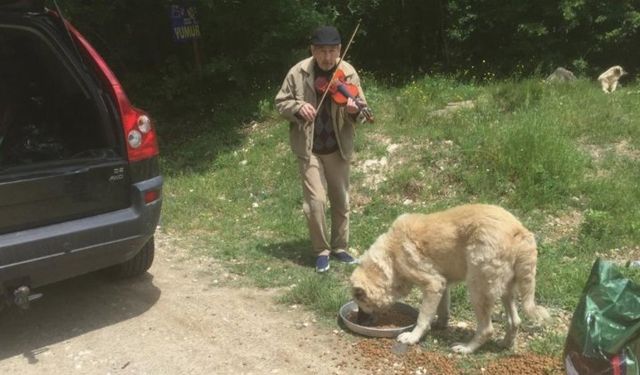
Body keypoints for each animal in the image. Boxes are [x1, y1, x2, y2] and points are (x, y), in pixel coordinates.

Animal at [350, 204, 552, 354]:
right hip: (504, 289)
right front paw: (439, 325)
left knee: (487, 329)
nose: (358, 322)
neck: (390, 256)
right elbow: (442, 309)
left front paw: (413, 337)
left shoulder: (433, 283)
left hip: (478, 288)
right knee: (515, 321)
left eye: (360, 303)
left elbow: (422, 317)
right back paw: (505, 344)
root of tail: (520, 231)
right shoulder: (442, 284)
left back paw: (466, 349)